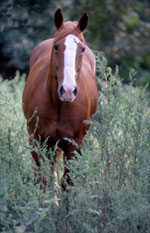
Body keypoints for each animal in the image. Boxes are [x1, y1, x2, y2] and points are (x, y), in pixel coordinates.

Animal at [22, 8, 97, 191]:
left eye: (82, 49)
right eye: (56, 46)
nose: (68, 91)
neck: (58, 104)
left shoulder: (73, 146)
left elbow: (67, 183)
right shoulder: (37, 142)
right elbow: (41, 180)